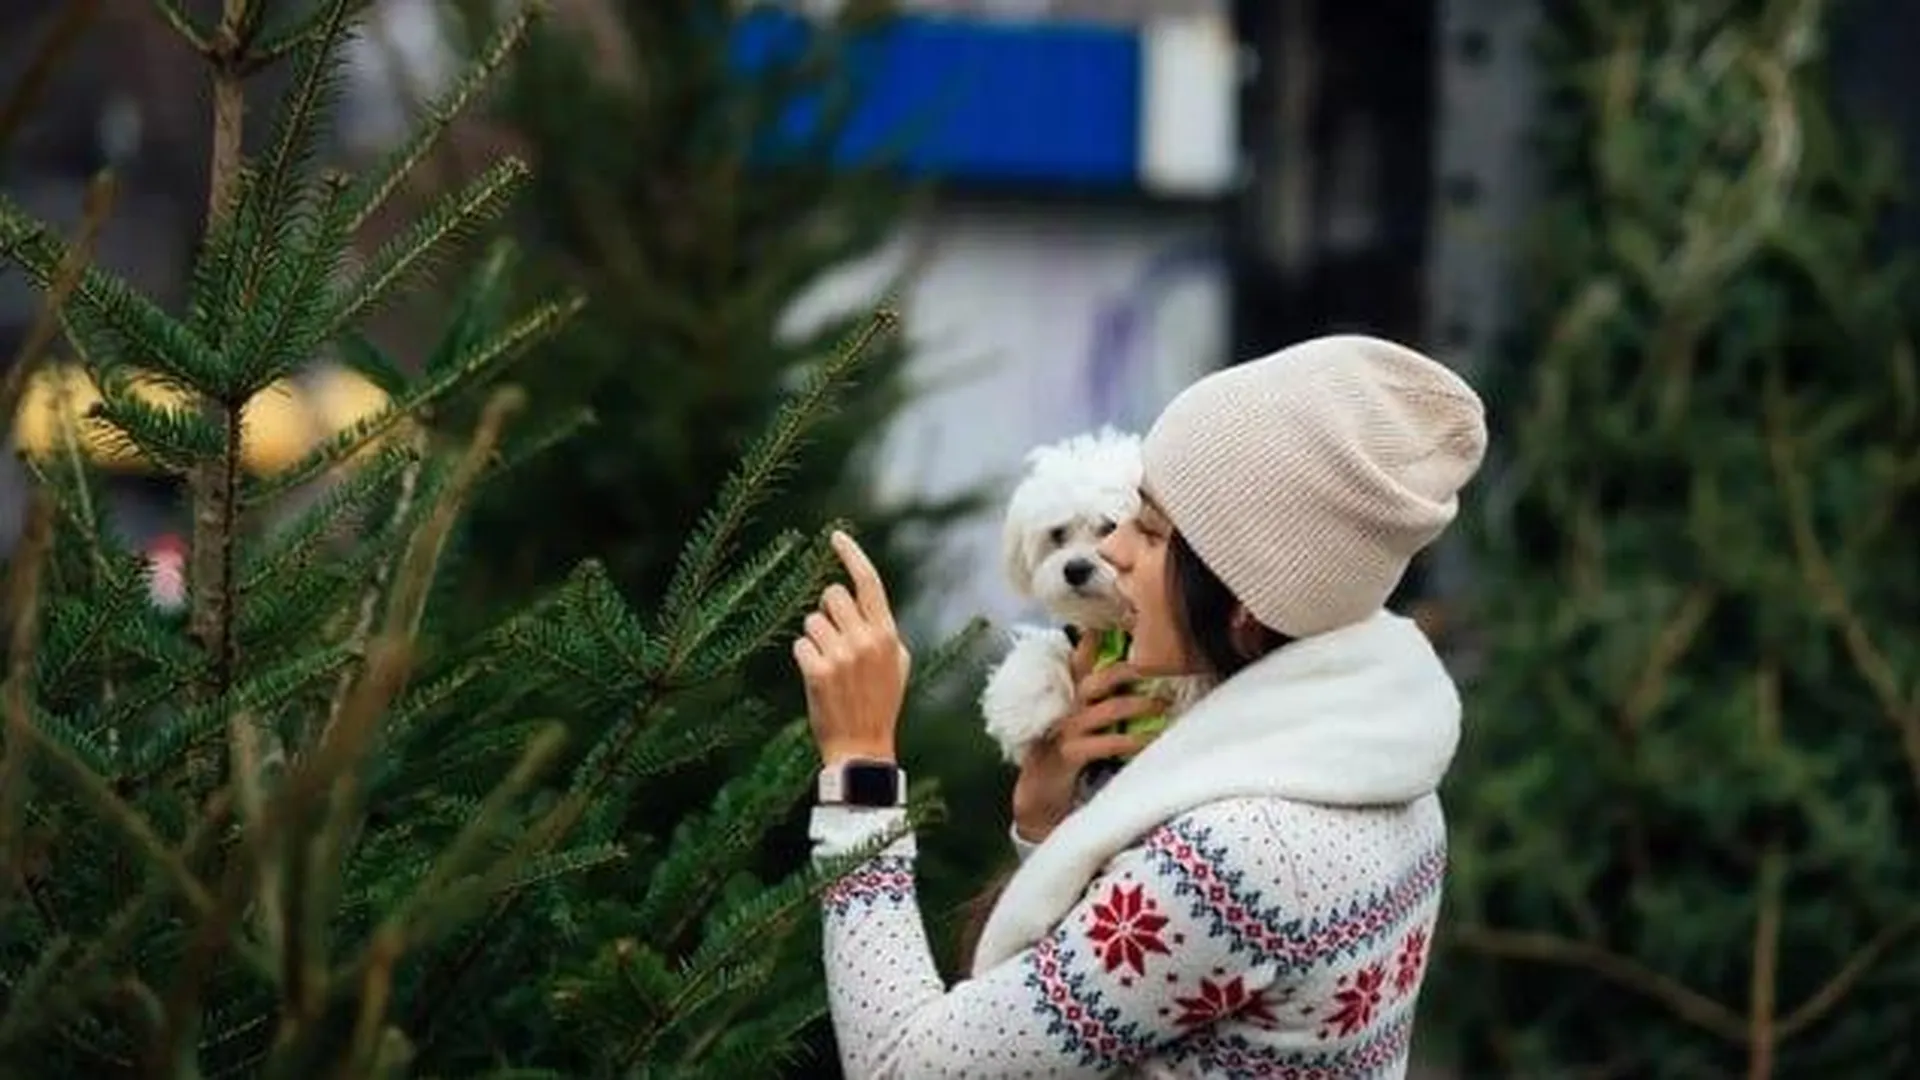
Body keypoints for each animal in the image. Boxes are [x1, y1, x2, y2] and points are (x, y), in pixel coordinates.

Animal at [983, 424, 1205, 760]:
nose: (1075, 569)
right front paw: (1025, 703)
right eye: (1058, 534)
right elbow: (1045, 646)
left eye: (1111, 527)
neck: (1120, 631)